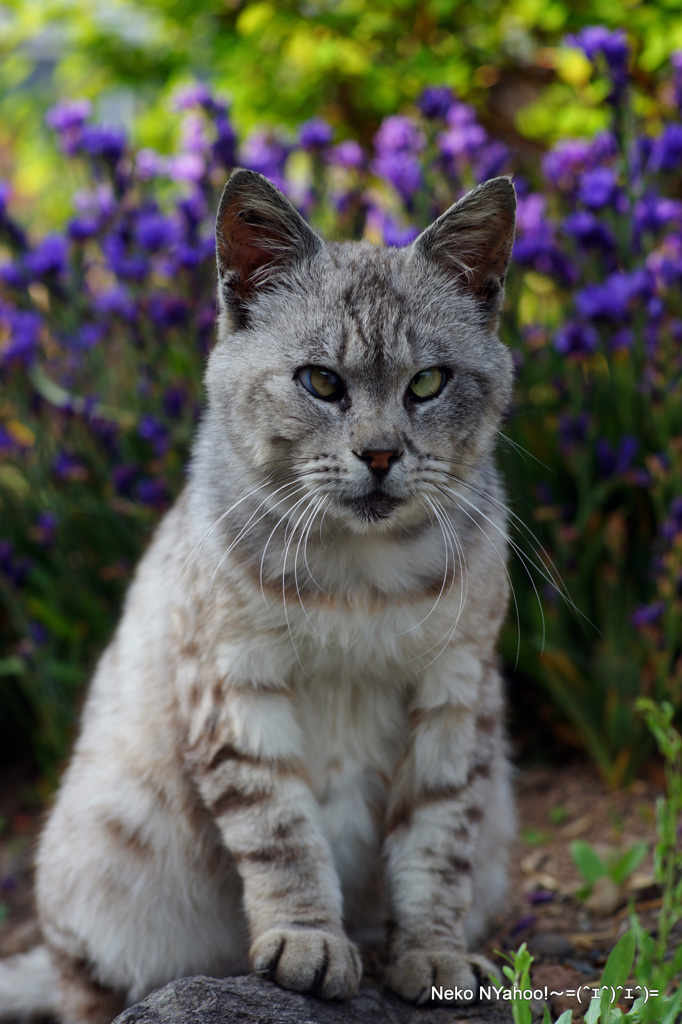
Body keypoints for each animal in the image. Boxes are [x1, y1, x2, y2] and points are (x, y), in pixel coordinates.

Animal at [0, 163, 516, 1019]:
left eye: (429, 382)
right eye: (321, 382)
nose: (381, 455)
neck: (360, 574)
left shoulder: (455, 692)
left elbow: (438, 841)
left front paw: (434, 956)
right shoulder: (235, 686)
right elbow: (284, 835)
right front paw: (308, 944)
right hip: (98, 861)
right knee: (83, 986)